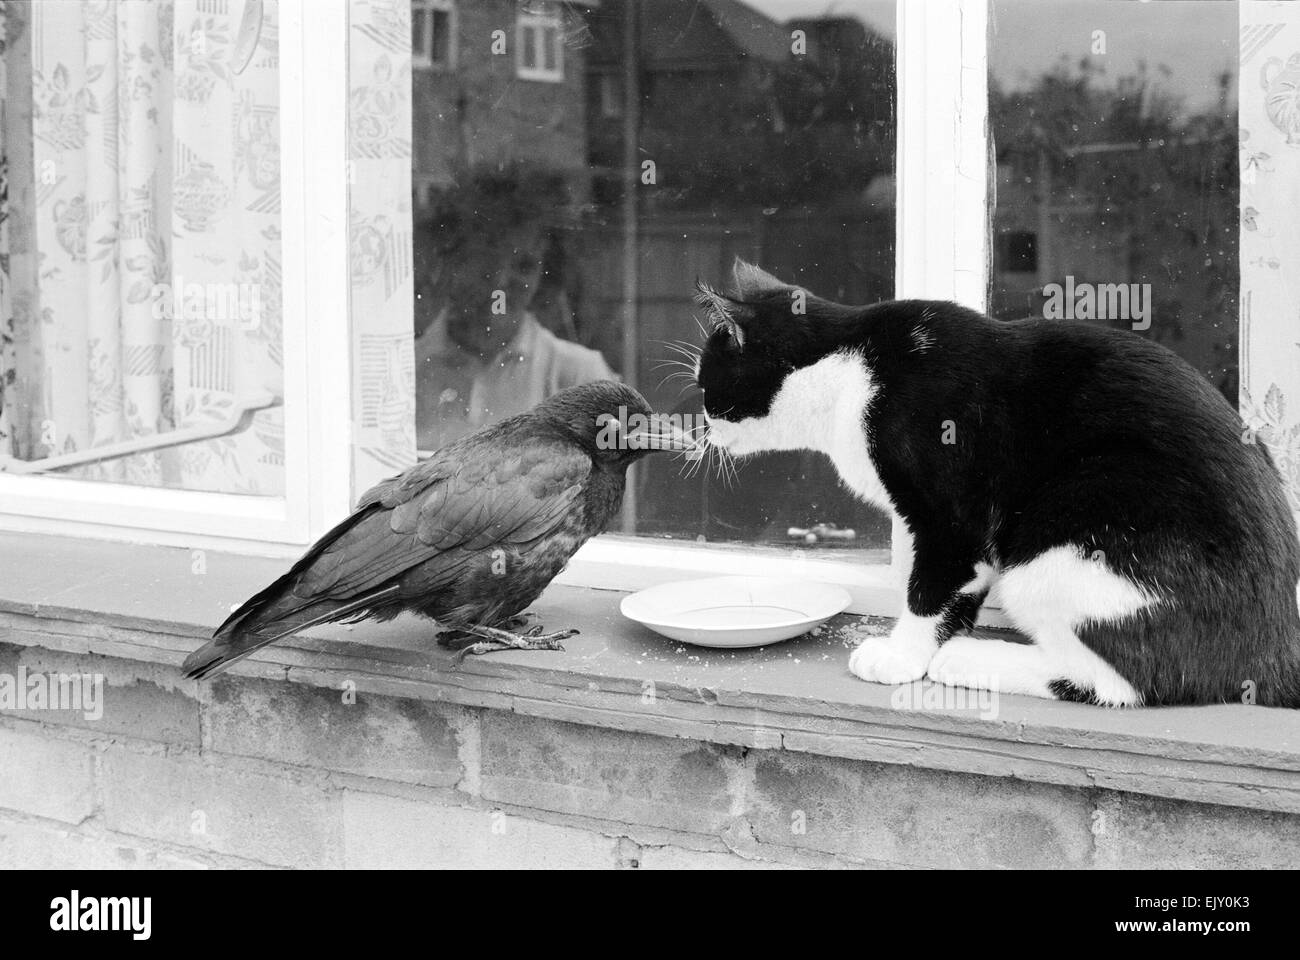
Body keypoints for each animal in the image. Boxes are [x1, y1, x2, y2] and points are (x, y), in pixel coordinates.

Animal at [696, 257, 1300, 707]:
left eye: (707, 386)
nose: (700, 426)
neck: (851, 368)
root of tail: (1278, 650)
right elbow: (955, 595)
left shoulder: (950, 515)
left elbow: (931, 587)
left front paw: (901, 655)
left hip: (1071, 529)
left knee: (1125, 682)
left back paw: (972, 661)